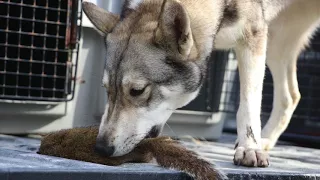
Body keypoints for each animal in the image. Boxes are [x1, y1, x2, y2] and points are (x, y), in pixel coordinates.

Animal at [82, 0, 320, 167]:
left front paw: (250, 148)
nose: (100, 148)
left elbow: (248, 104)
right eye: (107, 90)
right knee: (291, 96)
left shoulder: (253, 37)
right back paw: (267, 139)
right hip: (276, 44)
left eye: (137, 90)